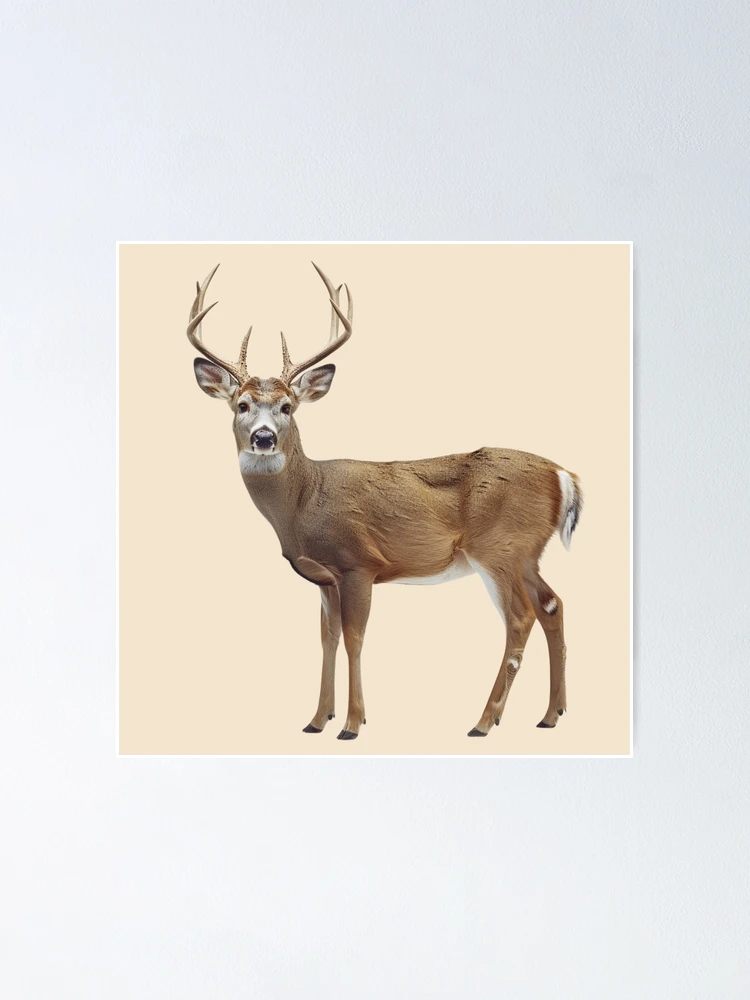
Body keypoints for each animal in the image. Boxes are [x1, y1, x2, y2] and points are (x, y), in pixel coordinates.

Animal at [187, 262, 583, 741]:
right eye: (241, 405)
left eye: (287, 406)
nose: (264, 438)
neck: (304, 501)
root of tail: (564, 476)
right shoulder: (325, 578)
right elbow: (328, 638)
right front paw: (317, 720)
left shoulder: (358, 562)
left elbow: (355, 638)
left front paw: (352, 724)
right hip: (526, 553)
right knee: (553, 605)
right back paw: (551, 714)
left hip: (498, 547)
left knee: (521, 617)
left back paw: (485, 721)